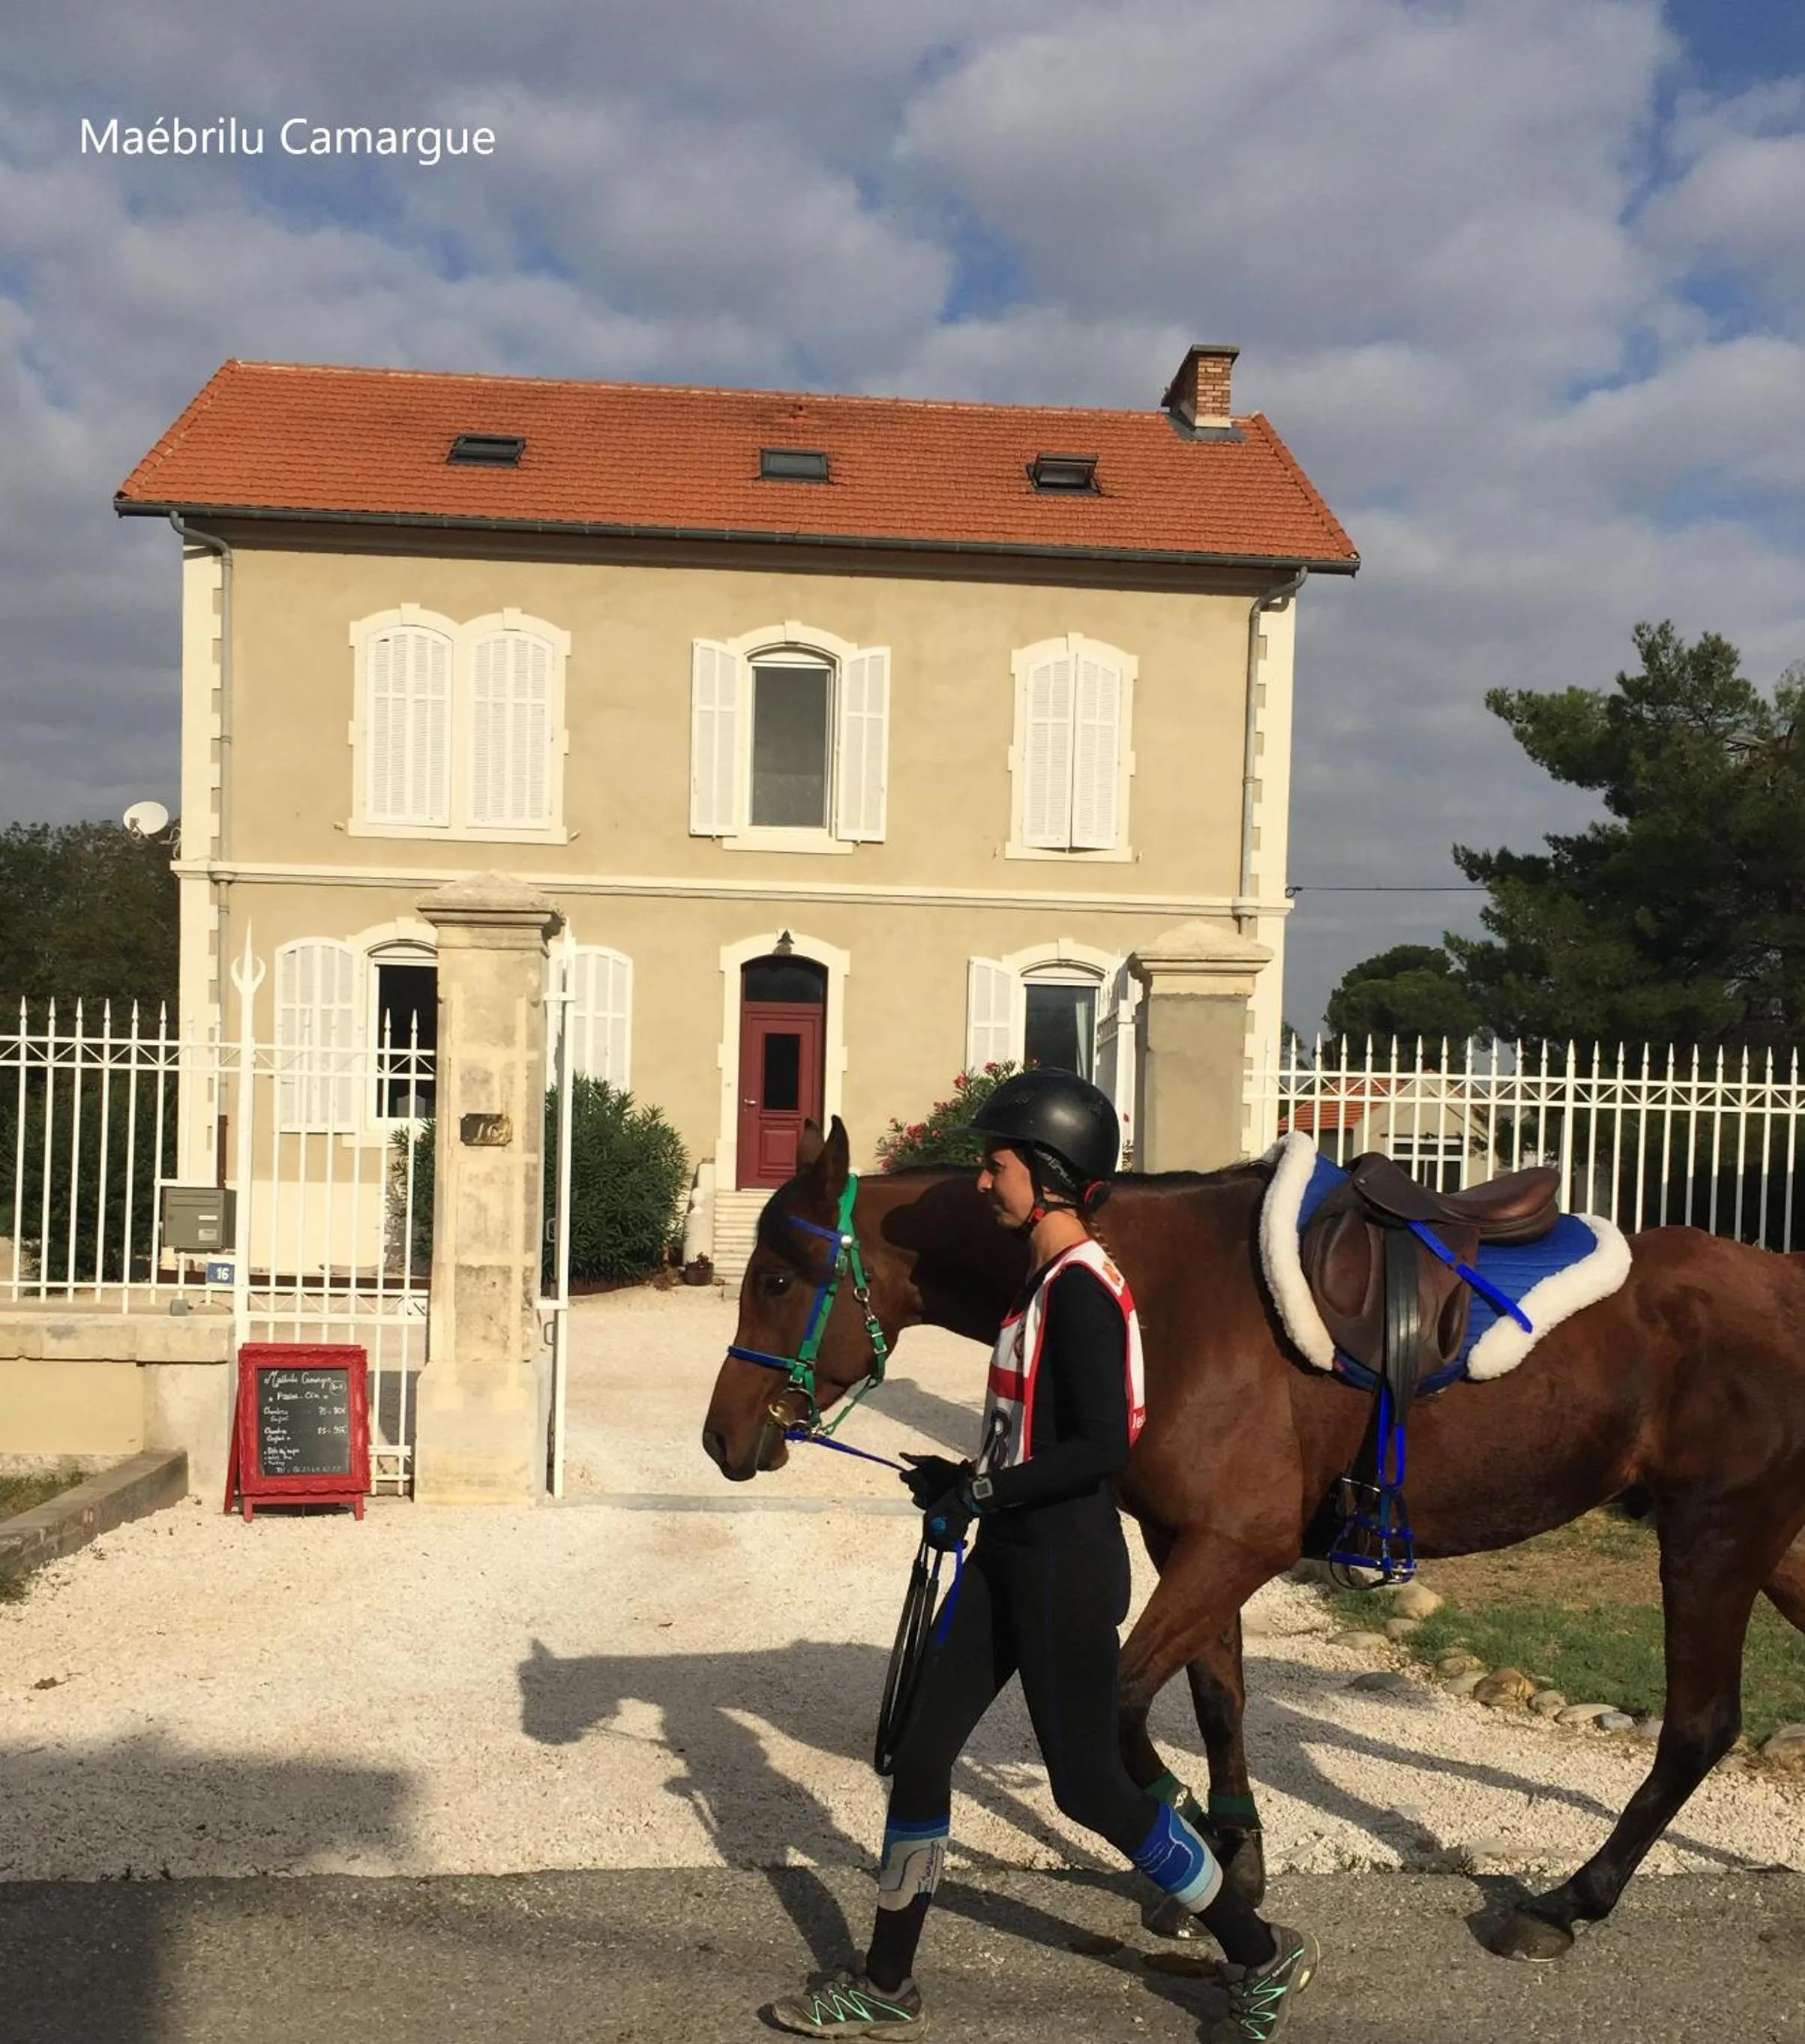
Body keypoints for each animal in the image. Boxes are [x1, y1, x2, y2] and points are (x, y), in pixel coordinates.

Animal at [701, 1118, 1805, 1962]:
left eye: (777, 1278)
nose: (720, 1436)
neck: (1156, 1289)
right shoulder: (1192, 1540)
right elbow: (1216, 1702)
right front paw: (1229, 1856)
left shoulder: (1236, 1543)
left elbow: (1122, 1704)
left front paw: (1182, 1830)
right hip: (1771, 1547)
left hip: (1711, 1534)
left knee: (1697, 1725)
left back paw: (1565, 1901)